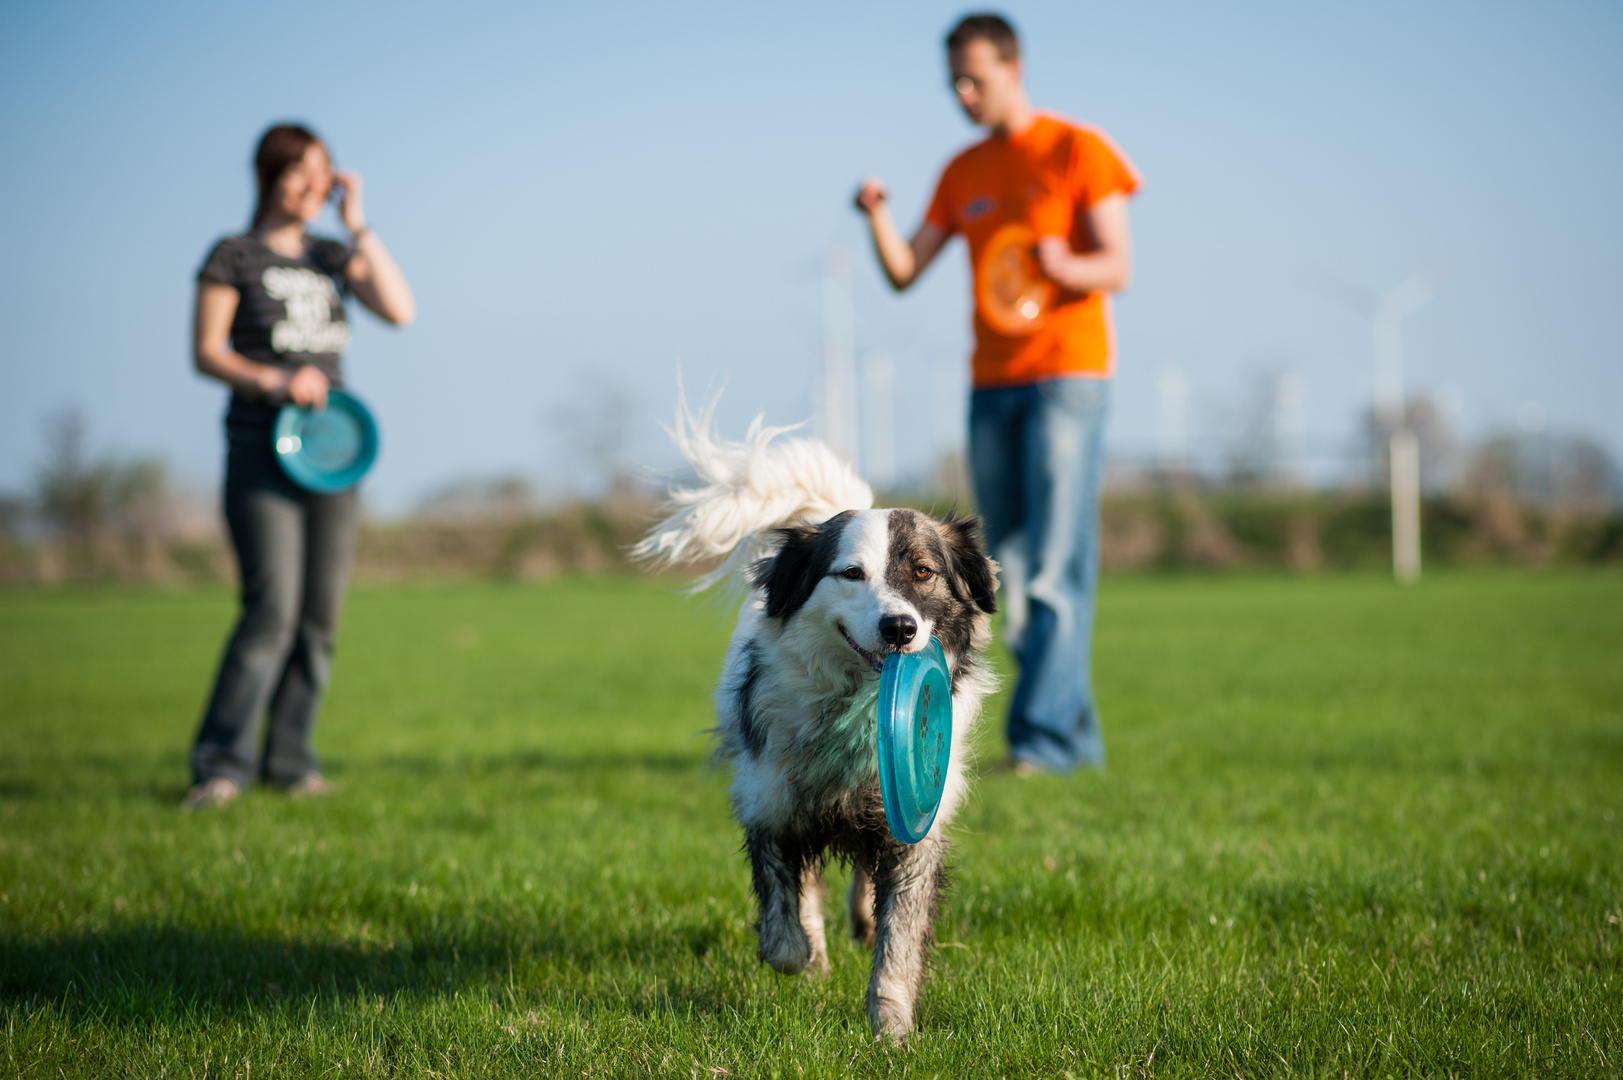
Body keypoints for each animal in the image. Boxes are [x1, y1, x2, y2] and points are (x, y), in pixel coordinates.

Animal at [636, 399, 999, 1039]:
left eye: (923, 573)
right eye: (851, 574)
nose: (900, 628)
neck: (858, 708)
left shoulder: (913, 824)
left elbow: (900, 931)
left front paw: (891, 1022)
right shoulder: (770, 799)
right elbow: (786, 914)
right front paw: (804, 960)